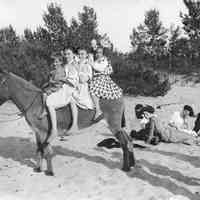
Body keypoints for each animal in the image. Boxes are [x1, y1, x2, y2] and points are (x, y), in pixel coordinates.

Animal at [0, 69, 136, 176]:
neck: (35, 103)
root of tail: (118, 94)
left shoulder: (44, 132)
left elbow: (47, 151)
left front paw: (49, 172)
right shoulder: (37, 132)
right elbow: (39, 149)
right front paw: (38, 169)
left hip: (113, 125)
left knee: (124, 142)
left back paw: (126, 168)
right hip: (116, 126)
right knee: (129, 140)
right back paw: (132, 164)